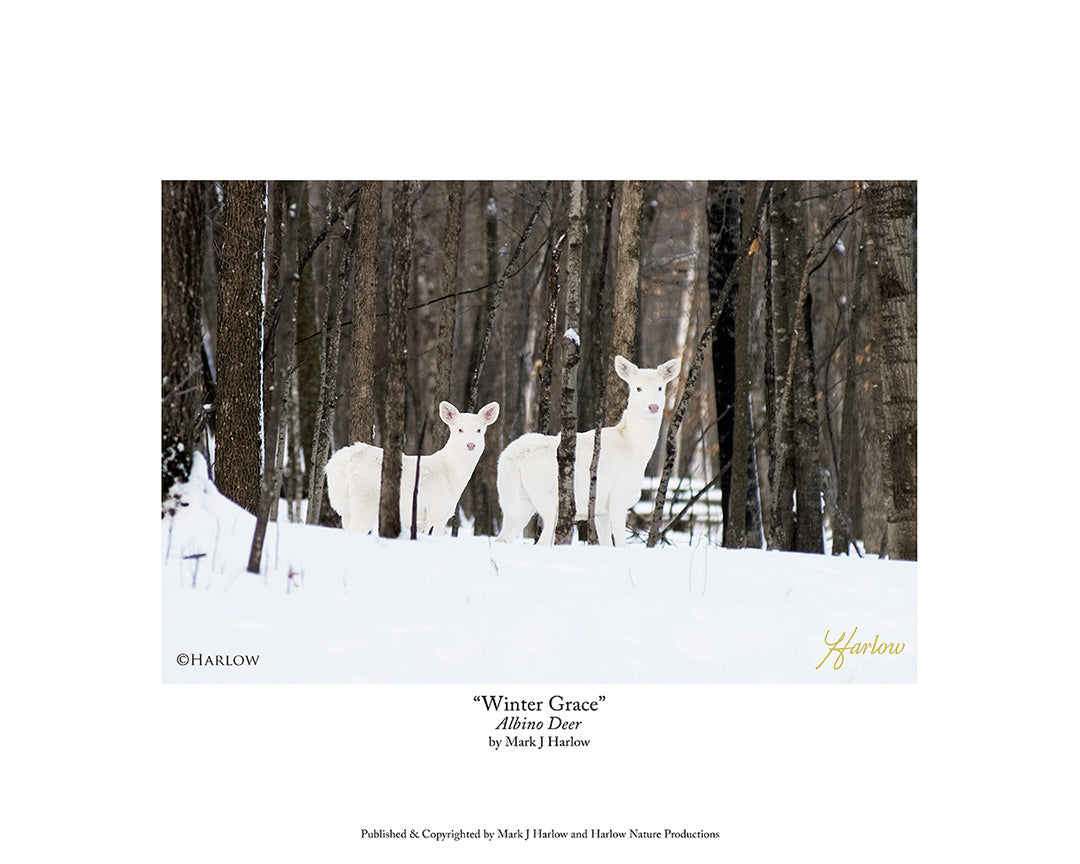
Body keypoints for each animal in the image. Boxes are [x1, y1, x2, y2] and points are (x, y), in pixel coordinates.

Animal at [325, 401, 500, 537]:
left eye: (479, 430)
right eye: (459, 429)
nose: (471, 444)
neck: (451, 475)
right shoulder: (437, 511)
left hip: (347, 507)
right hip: (365, 500)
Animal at [494, 356, 680, 547]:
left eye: (660, 387)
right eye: (638, 388)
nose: (653, 406)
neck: (634, 447)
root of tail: (509, 459)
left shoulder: (601, 509)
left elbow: (606, 544)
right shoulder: (618, 498)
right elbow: (621, 544)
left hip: (518, 503)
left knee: (501, 538)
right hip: (546, 500)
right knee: (541, 542)